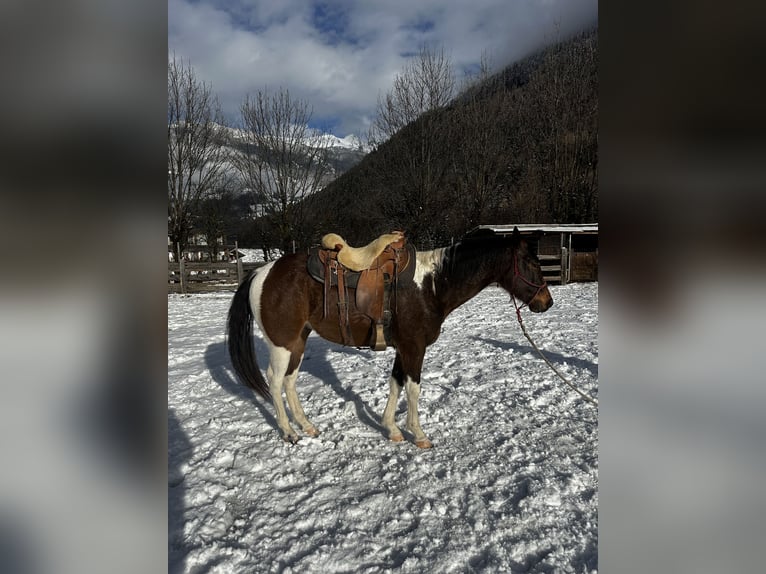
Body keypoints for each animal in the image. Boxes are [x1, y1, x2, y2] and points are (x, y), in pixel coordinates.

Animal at [225, 228, 556, 450]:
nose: (547, 302)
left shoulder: (403, 348)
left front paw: (392, 430)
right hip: (281, 344)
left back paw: (307, 426)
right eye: (532, 264)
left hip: (298, 342)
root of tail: (261, 273)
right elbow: (413, 389)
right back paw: (288, 432)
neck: (433, 285)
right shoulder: (414, 348)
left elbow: (395, 384)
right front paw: (418, 435)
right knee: (275, 381)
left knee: (290, 381)